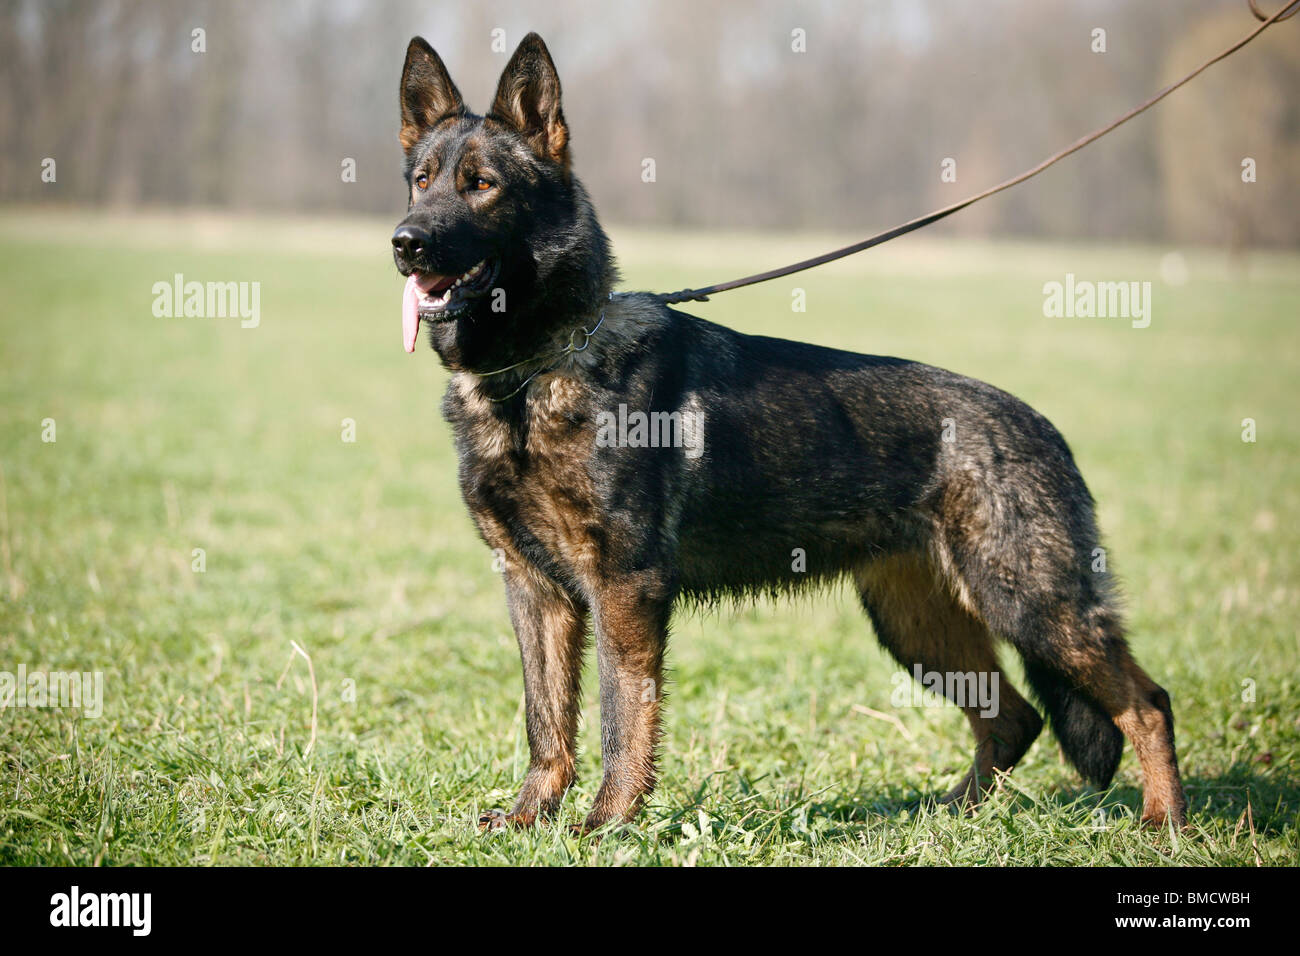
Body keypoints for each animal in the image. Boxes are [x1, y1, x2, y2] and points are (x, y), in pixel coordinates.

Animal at [387, 33, 1190, 832]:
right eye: (420, 182)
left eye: (482, 184)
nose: (405, 242)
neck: (536, 367)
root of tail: (1041, 426)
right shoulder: (535, 591)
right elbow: (546, 719)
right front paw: (530, 817)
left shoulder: (624, 586)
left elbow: (623, 714)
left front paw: (609, 821)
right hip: (921, 625)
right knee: (1013, 718)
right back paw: (946, 817)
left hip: (1031, 605)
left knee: (1146, 703)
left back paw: (1162, 823)